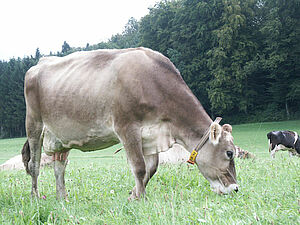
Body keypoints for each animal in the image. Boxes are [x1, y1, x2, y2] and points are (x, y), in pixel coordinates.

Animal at [21, 47, 239, 199]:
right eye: (229, 153)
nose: (236, 188)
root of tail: (40, 62)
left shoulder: (151, 135)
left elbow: (151, 168)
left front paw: (133, 194)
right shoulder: (127, 127)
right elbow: (139, 167)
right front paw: (141, 198)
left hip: (61, 136)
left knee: (59, 165)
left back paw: (62, 197)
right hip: (34, 124)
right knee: (34, 165)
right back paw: (35, 196)